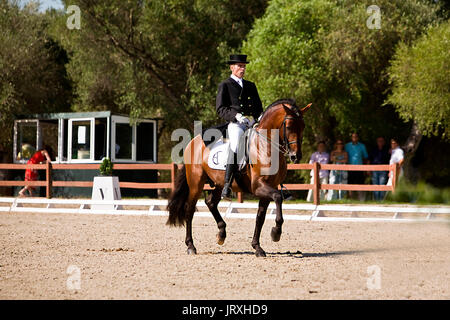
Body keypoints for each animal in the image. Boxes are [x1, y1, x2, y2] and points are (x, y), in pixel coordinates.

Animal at [167, 99, 312, 256]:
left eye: (303, 126)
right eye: (289, 126)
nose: (296, 156)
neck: (264, 146)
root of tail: (193, 141)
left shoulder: (269, 188)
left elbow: (260, 217)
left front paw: (257, 247)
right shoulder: (258, 186)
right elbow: (278, 197)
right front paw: (275, 233)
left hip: (219, 184)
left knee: (210, 202)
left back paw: (221, 234)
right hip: (196, 184)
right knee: (190, 210)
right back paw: (191, 246)